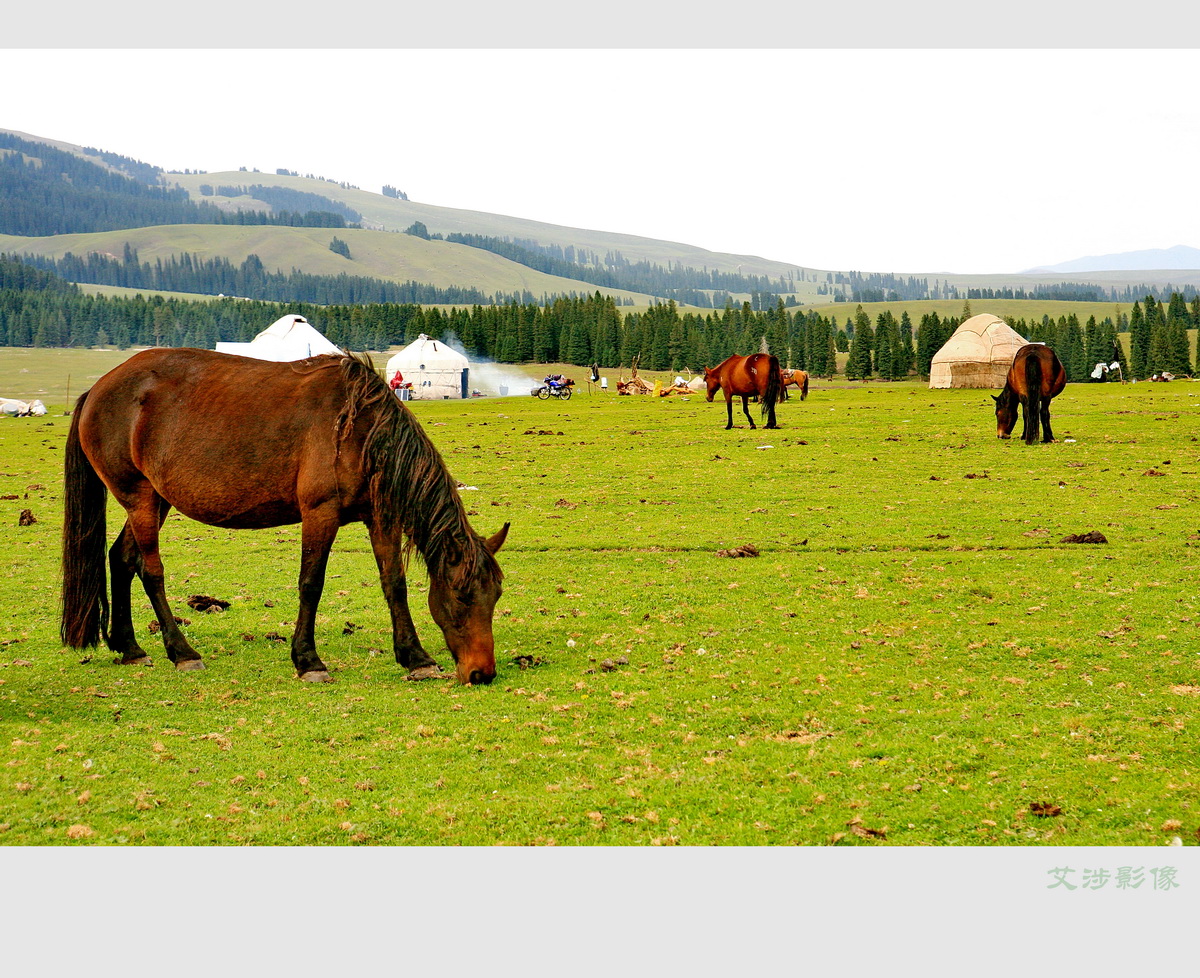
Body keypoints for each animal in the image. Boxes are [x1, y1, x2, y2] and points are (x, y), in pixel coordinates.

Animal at [59, 348, 506, 686]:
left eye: (496, 595)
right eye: (462, 595)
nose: (481, 673)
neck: (360, 430)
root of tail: (98, 389)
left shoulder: (382, 516)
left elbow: (393, 583)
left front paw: (416, 658)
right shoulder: (320, 513)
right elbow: (311, 584)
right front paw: (308, 661)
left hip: (156, 499)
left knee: (121, 559)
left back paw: (130, 648)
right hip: (139, 499)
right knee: (150, 571)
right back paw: (182, 652)